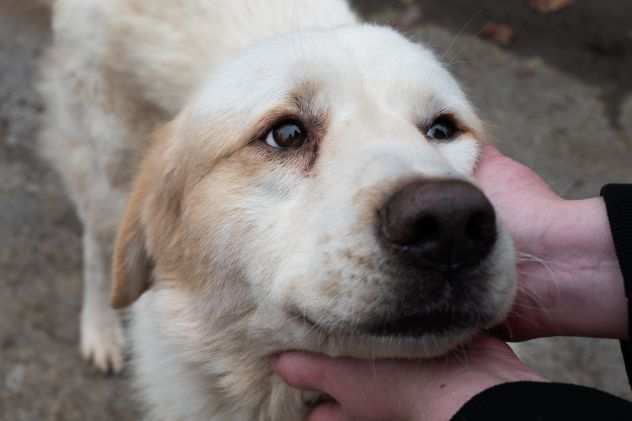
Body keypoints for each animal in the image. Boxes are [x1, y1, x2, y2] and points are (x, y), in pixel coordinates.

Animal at [40, 0, 520, 418]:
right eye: (286, 135)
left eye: (442, 130)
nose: (451, 221)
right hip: (106, 170)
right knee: (97, 249)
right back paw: (100, 330)